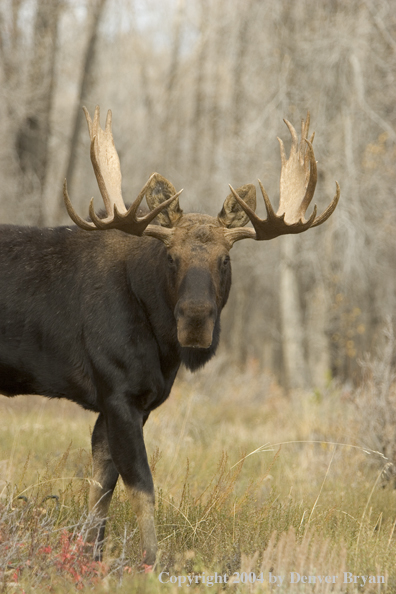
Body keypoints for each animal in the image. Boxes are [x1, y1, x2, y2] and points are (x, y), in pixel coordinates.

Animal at [0, 107, 340, 568]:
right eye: (171, 256)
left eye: (225, 259)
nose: (195, 320)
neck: (161, 347)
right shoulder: (117, 393)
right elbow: (141, 484)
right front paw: (150, 562)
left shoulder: (135, 402)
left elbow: (102, 488)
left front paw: (90, 559)